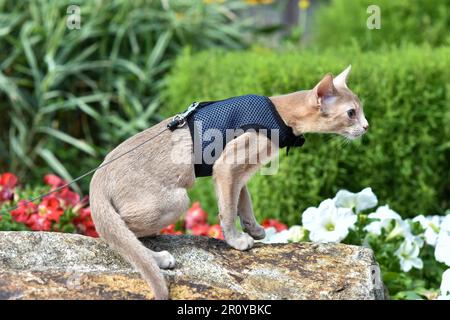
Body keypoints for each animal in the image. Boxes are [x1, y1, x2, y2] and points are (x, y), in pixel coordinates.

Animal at [89, 65, 368, 300]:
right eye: (351, 113)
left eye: (361, 110)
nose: (366, 126)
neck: (280, 115)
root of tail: (97, 178)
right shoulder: (226, 167)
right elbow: (228, 210)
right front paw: (236, 240)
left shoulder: (240, 175)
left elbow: (243, 203)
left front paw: (254, 229)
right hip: (178, 200)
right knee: (117, 234)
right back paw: (157, 259)